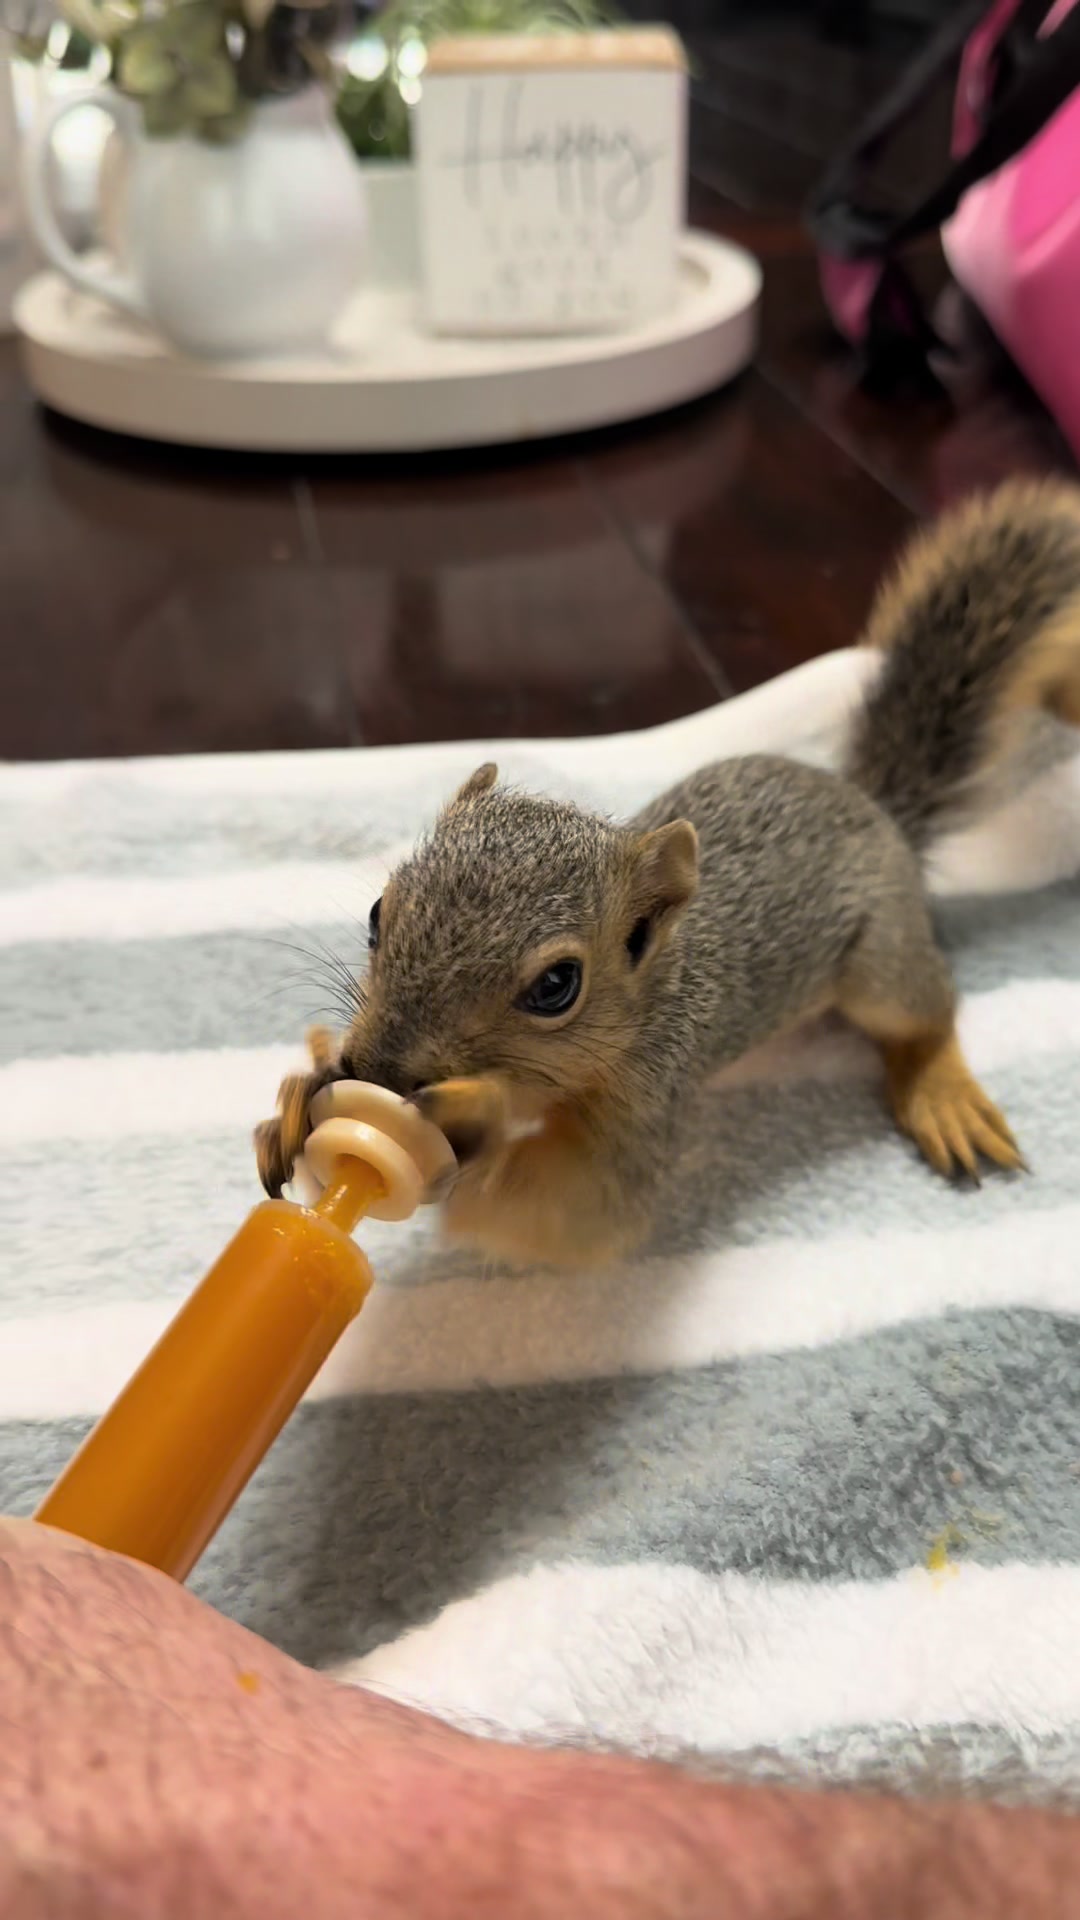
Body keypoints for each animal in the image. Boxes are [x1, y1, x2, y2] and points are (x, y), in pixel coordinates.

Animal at [256, 480, 1080, 1270]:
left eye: (556, 987)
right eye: (376, 912)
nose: (372, 1067)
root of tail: (876, 807)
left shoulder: (655, 1088)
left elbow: (579, 1209)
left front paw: (469, 1116)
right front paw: (298, 1100)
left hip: (882, 962)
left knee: (928, 1010)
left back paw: (943, 1093)